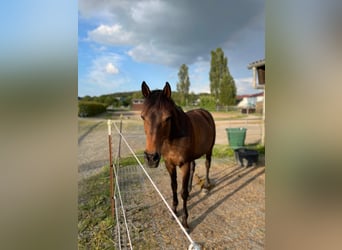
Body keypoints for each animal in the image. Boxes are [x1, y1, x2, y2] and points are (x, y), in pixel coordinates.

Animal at [140, 81, 215, 229]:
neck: (173, 139)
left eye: (167, 118)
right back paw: (191, 188)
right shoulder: (169, 164)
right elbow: (174, 187)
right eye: (142, 116)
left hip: (209, 149)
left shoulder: (184, 164)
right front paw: (174, 211)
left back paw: (207, 184)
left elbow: (182, 192)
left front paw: (185, 221)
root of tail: (205, 113)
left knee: (207, 164)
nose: (151, 158)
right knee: (194, 167)